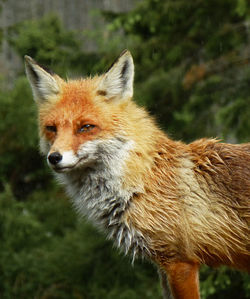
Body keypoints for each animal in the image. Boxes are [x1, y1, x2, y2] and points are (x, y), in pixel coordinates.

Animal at [23, 51, 250, 299]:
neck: (142, 183)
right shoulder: (163, 267)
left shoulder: (181, 263)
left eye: (86, 127)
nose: (54, 157)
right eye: (51, 128)